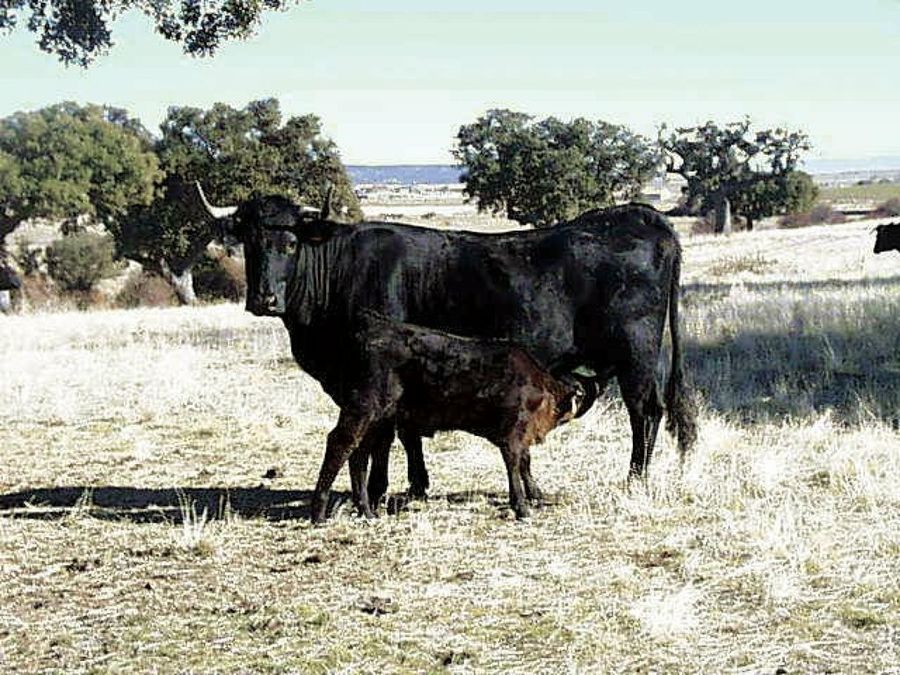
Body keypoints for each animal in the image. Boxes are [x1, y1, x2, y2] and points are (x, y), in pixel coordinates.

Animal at [308, 311, 579, 522]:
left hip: (377, 419)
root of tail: (373, 325)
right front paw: (522, 507)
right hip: (362, 409)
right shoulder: (512, 433)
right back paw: (319, 514)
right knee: (339, 444)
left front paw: (536, 496)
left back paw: (366, 511)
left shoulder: (522, 435)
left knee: (358, 455)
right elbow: (515, 464)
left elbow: (525, 462)